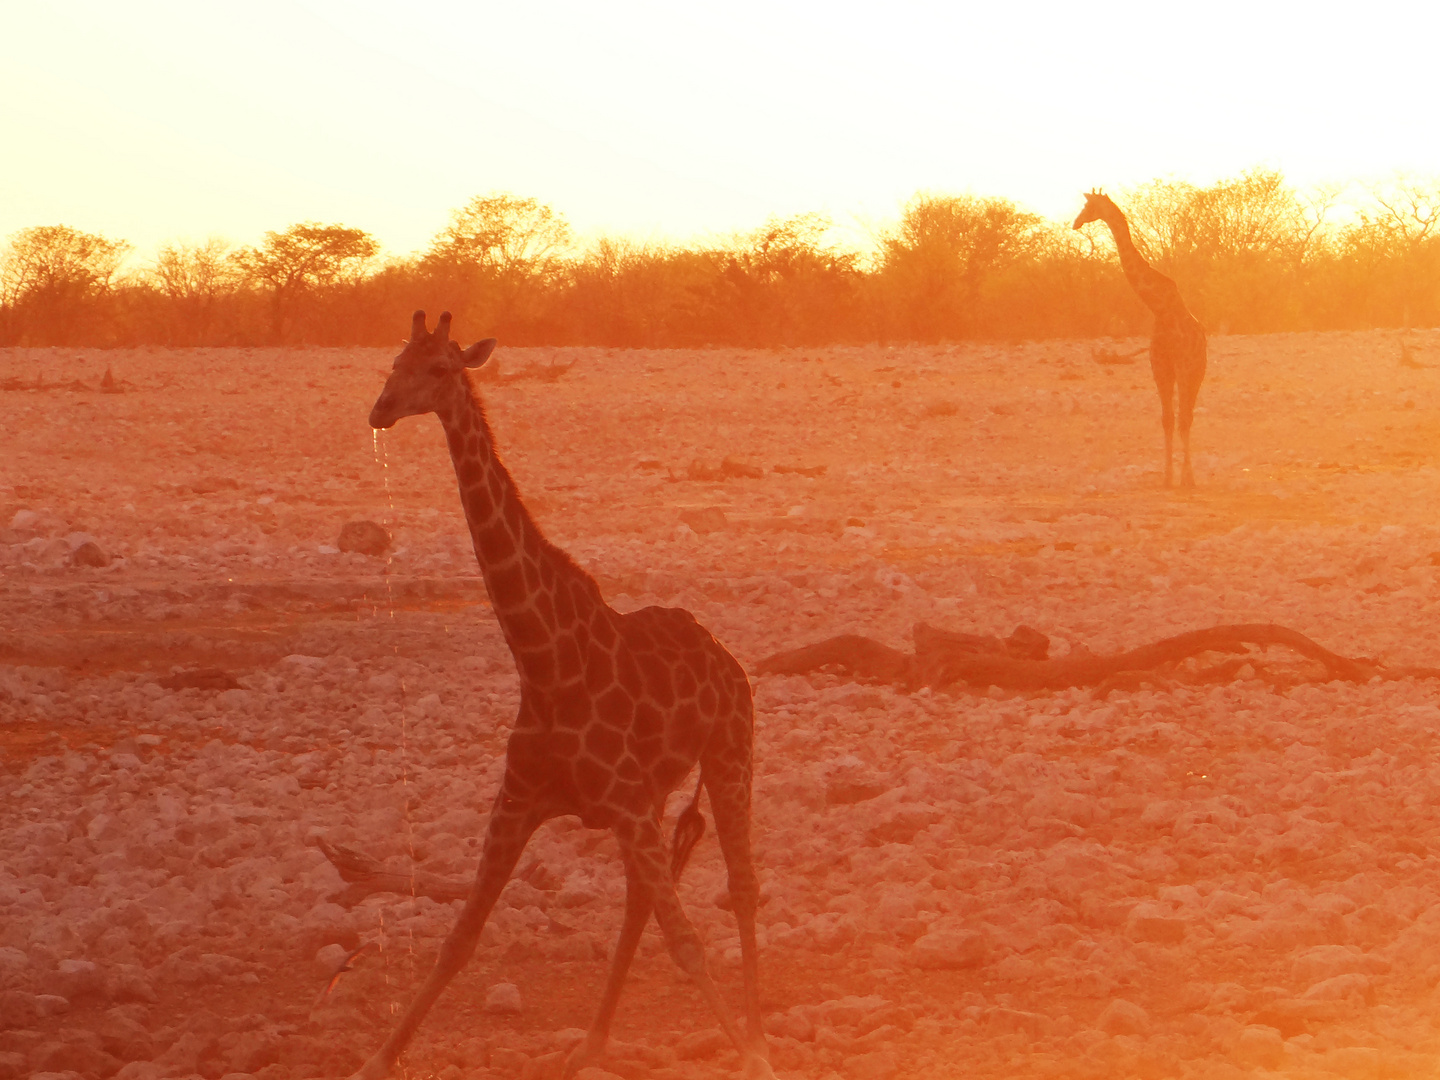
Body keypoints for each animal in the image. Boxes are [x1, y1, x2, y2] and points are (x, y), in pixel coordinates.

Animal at [352, 311, 771, 1080]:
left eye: (440, 369)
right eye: (394, 362)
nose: (382, 410)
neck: (543, 663)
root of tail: (728, 661)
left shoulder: (624, 804)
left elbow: (690, 943)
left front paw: (754, 1059)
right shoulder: (519, 802)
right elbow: (459, 940)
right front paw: (377, 1059)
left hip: (732, 754)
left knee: (743, 889)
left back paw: (754, 1033)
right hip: (659, 792)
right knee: (641, 900)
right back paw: (594, 1043)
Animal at [1077, 190, 1209, 486]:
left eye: (1088, 206)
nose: (1075, 223)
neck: (1159, 308)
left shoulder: (1180, 367)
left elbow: (1180, 420)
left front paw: (1184, 478)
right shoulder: (1160, 368)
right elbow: (1166, 419)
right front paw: (1167, 477)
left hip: (1196, 372)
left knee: (1188, 416)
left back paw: (1190, 478)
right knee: (1183, 416)